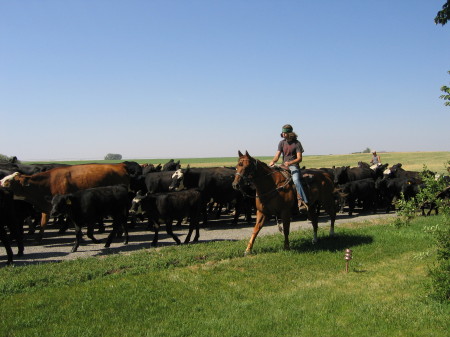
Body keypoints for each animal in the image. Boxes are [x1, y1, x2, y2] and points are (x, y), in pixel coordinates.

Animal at [0, 163, 130, 239]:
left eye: (7, 181)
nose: (0, 183)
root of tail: (120, 166)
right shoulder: (48, 206)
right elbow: (43, 222)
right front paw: (39, 238)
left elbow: (69, 220)